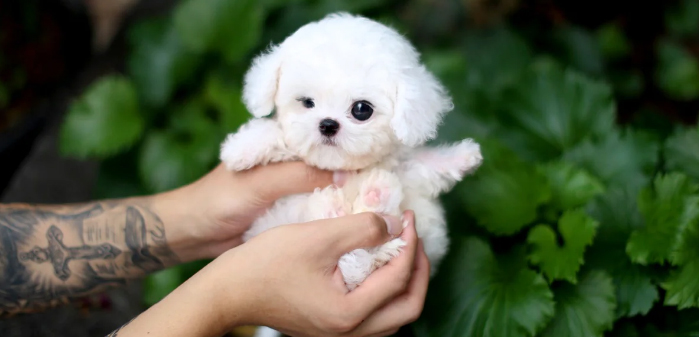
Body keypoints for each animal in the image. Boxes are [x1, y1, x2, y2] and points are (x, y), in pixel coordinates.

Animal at [220, 11, 482, 292]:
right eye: (307, 102)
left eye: (361, 110)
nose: (327, 124)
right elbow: (279, 136)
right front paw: (242, 147)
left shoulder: (403, 167)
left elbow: (423, 166)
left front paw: (464, 156)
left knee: (362, 264)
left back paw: (372, 196)